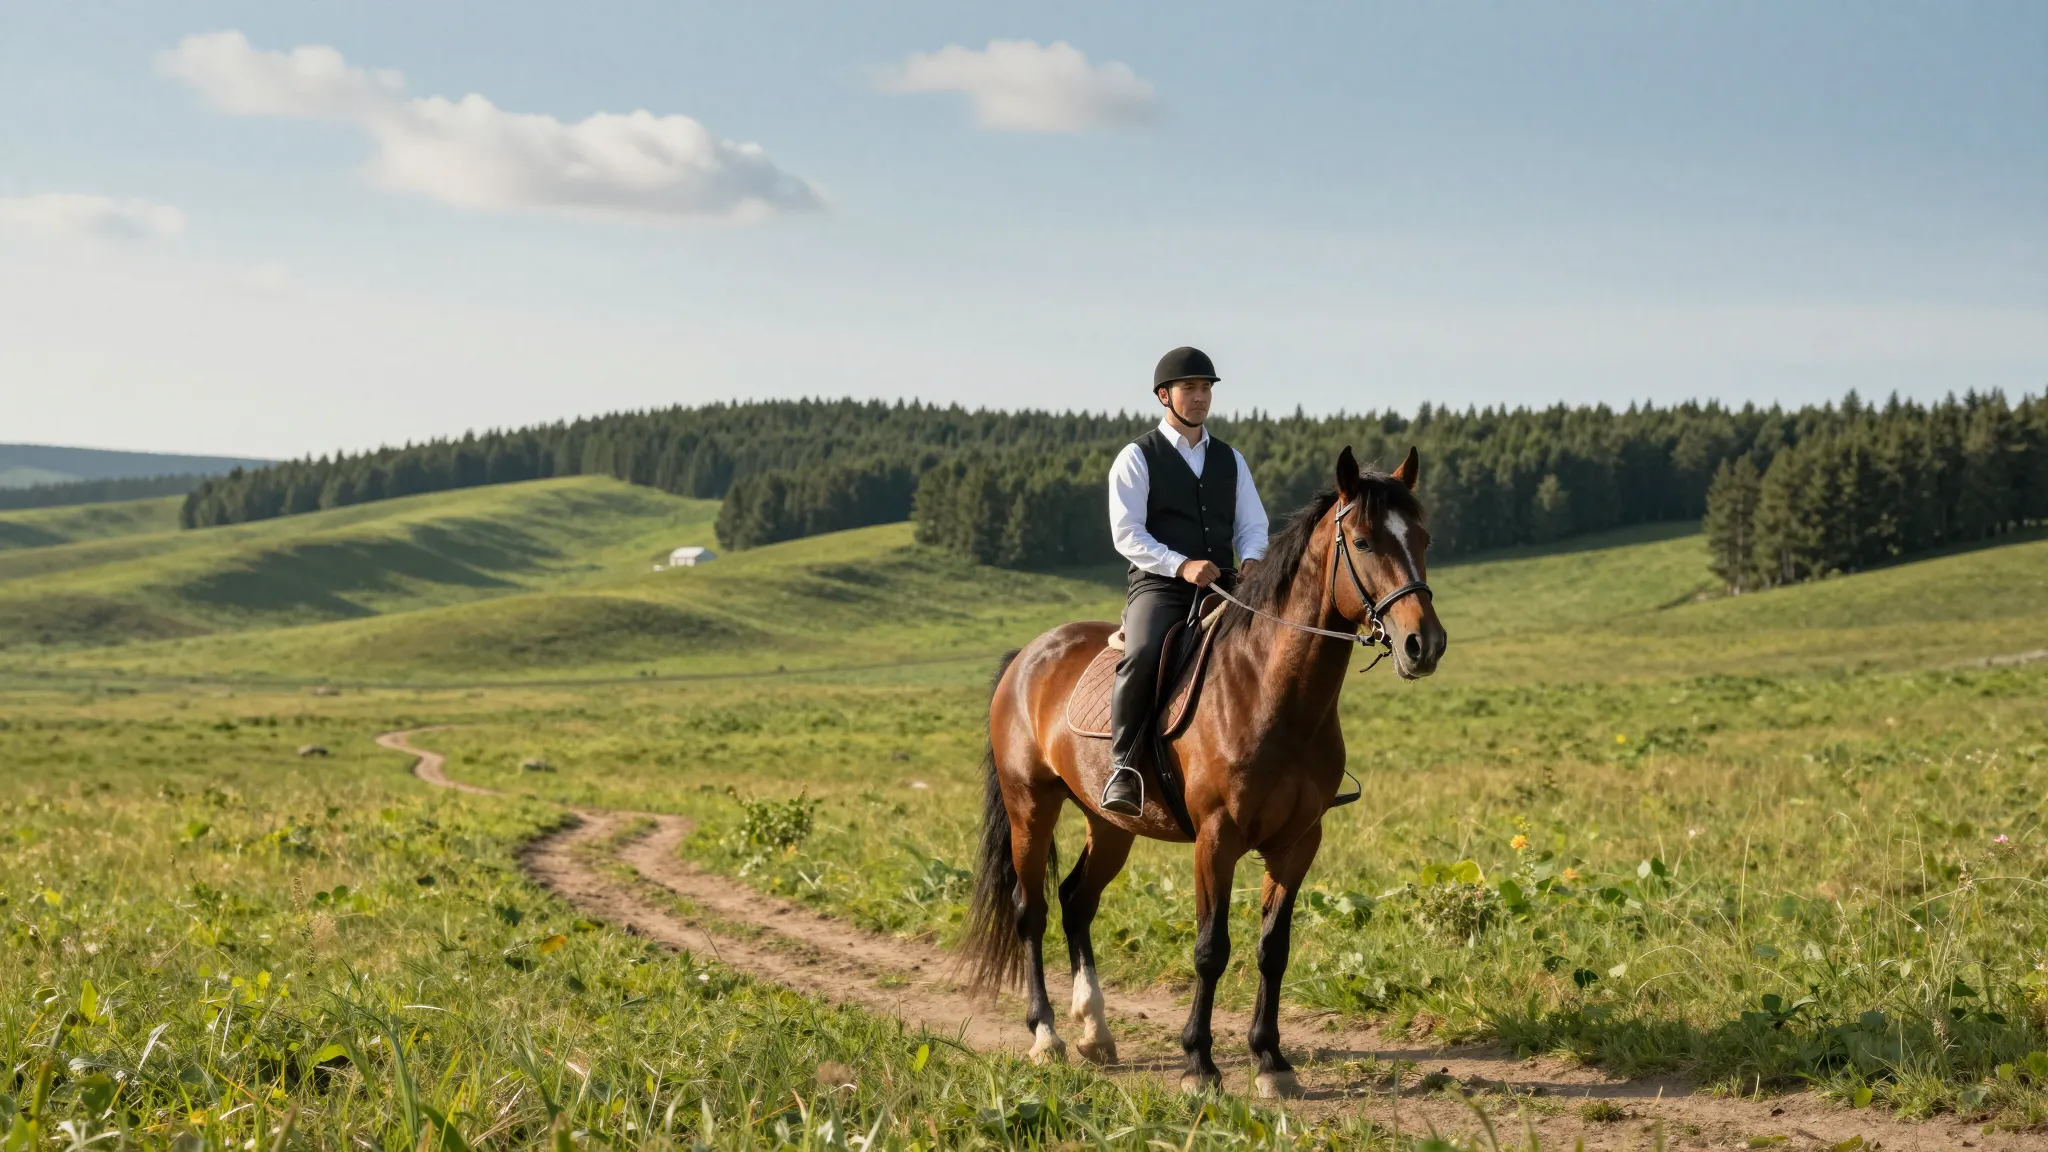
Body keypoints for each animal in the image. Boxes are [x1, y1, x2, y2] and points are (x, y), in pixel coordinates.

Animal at [960, 445, 1448, 1097]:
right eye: (1365, 542)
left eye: (1421, 537)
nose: (1425, 644)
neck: (1269, 691)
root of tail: (1028, 656)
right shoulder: (1216, 838)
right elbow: (1211, 948)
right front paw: (1199, 1063)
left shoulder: (1298, 842)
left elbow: (1273, 948)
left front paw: (1271, 1061)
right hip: (1029, 809)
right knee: (1030, 911)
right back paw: (1047, 1036)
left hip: (1109, 823)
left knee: (1075, 901)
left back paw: (1095, 1031)